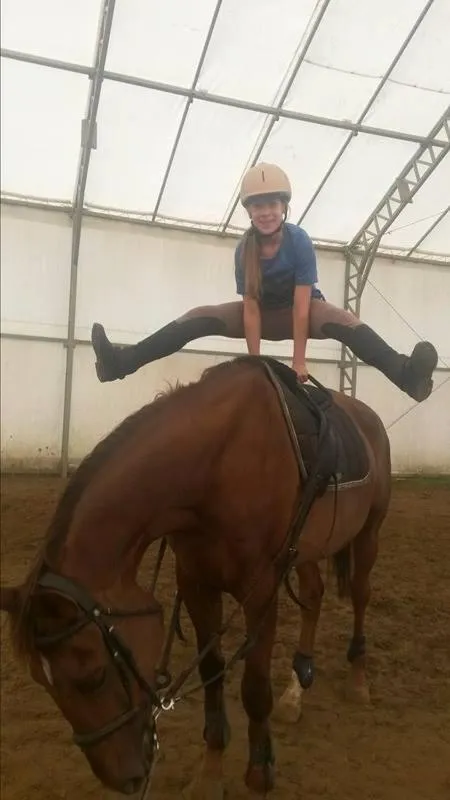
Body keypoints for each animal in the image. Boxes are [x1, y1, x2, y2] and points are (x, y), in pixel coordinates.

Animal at [0, 354, 391, 798]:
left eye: (93, 677)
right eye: (41, 681)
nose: (124, 779)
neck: (215, 467)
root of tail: (367, 416)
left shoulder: (260, 590)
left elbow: (254, 687)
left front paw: (259, 773)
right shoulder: (196, 582)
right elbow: (211, 674)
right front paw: (210, 772)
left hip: (369, 531)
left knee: (359, 594)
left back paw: (358, 681)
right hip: (309, 546)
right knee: (314, 595)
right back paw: (296, 691)